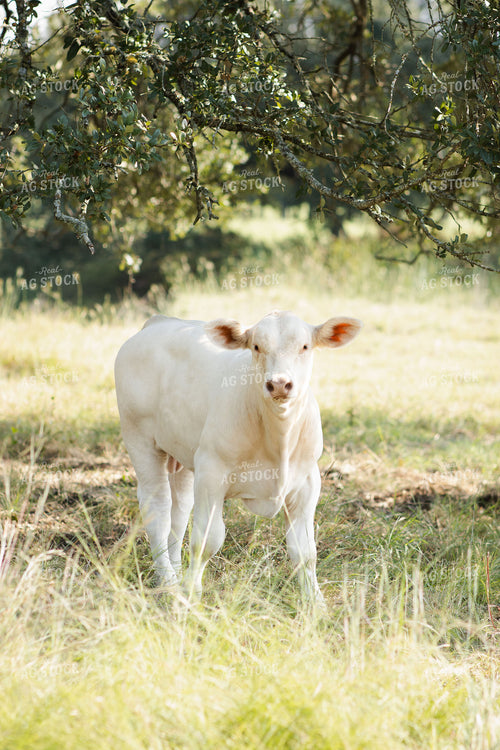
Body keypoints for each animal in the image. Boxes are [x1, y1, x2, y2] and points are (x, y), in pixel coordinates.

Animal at [114, 310, 362, 606]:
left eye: (304, 346)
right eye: (256, 346)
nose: (279, 383)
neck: (278, 437)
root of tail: (158, 321)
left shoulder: (307, 481)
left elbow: (305, 551)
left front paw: (316, 602)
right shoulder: (211, 473)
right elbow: (206, 541)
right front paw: (191, 593)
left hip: (183, 453)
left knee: (179, 510)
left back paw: (175, 572)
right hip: (139, 438)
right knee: (158, 509)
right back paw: (169, 582)